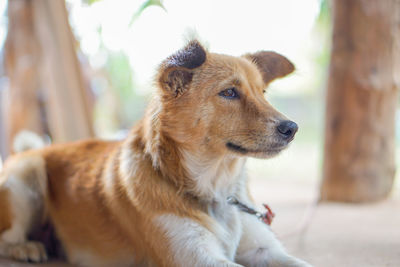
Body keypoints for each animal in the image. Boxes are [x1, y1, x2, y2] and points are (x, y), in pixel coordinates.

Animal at [0, 40, 312, 267]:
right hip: (25, 177)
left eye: (263, 93)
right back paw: (27, 247)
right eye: (229, 93)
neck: (215, 187)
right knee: (6, 237)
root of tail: (40, 146)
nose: (292, 128)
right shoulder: (196, 258)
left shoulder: (264, 250)